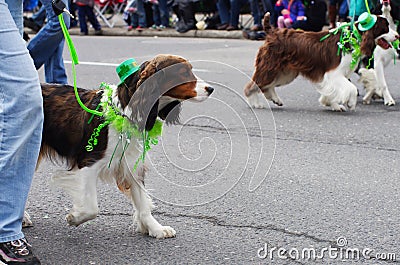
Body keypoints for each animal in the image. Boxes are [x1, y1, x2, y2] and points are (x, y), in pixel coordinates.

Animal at [32, 53, 212, 237]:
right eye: (183, 72)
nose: (211, 89)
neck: (125, 111)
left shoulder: (131, 162)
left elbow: (142, 204)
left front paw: (156, 228)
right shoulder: (89, 161)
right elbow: (92, 207)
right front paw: (74, 217)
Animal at [245, 12, 396, 111]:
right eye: (386, 27)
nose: (397, 35)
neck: (353, 37)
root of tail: (272, 32)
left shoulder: (335, 76)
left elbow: (332, 92)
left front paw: (334, 105)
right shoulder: (334, 74)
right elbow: (351, 88)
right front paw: (351, 103)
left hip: (285, 72)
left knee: (267, 86)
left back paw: (275, 100)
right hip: (270, 66)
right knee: (253, 85)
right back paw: (255, 104)